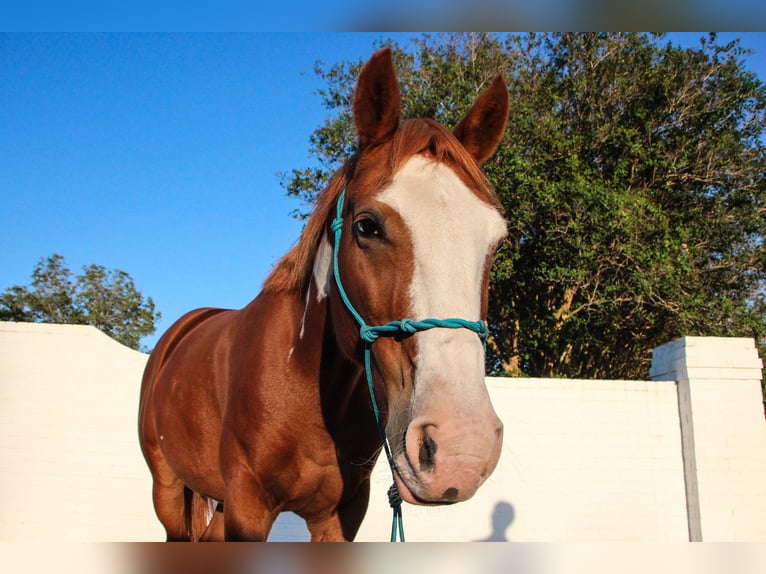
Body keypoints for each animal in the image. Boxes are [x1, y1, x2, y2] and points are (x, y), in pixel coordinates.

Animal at [140, 49, 510, 544]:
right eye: (366, 226)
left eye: (497, 242)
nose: (460, 449)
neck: (306, 393)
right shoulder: (247, 507)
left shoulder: (342, 514)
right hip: (167, 491)